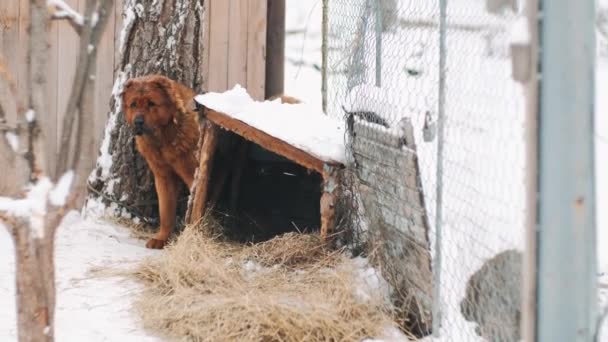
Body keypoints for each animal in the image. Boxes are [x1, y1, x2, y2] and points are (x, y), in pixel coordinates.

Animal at [122, 75, 198, 248]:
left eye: (151, 103)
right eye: (133, 104)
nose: (138, 121)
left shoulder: (194, 175)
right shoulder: (164, 177)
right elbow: (166, 211)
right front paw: (162, 239)